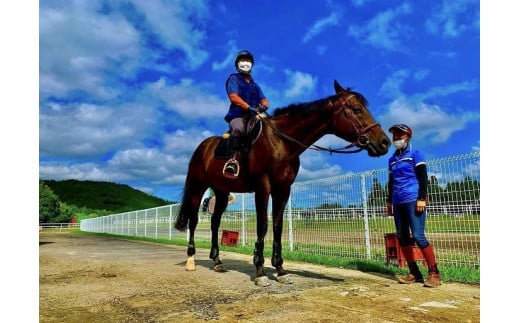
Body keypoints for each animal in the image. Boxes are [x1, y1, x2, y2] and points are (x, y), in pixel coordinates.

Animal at [175, 80, 390, 286]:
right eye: (356, 109)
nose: (384, 142)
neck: (281, 142)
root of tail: (203, 147)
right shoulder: (263, 187)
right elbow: (263, 226)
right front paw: (260, 271)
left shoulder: (283, 190)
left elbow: (278, 227)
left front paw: (280, 270)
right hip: (198, 187)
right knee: (194, 221)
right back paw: (191, 260)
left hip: (221, 191)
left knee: (214, 222)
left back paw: (218, 262)